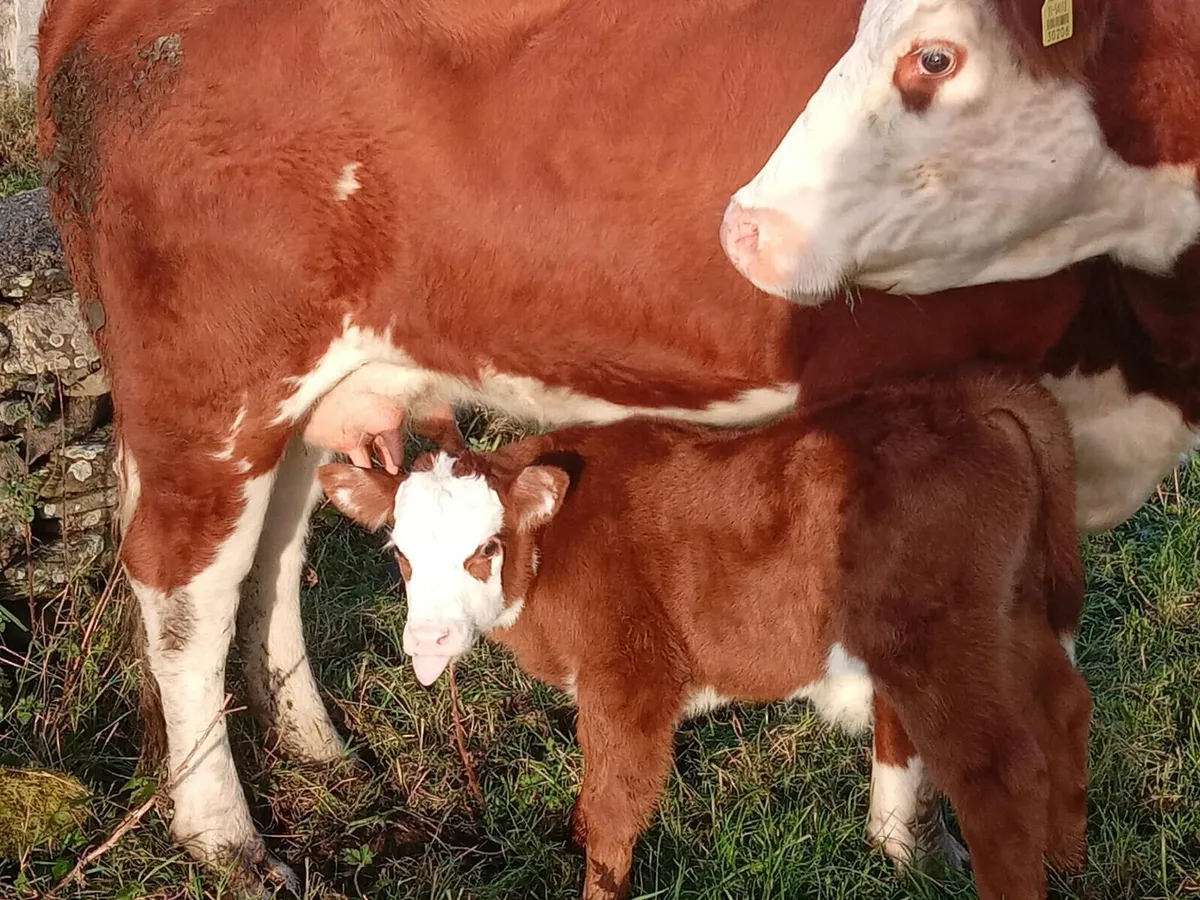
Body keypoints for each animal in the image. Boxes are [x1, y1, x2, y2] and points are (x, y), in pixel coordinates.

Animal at [319, 367, 1092, 900]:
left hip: (940, 644)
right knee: (1065, 709)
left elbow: (616, 805)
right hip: (1016, 611)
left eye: (486, 547)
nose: (429, 643)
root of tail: (971, 400)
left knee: (1001, 776)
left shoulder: (630, 681)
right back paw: (1069, 862)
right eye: (399, 553)